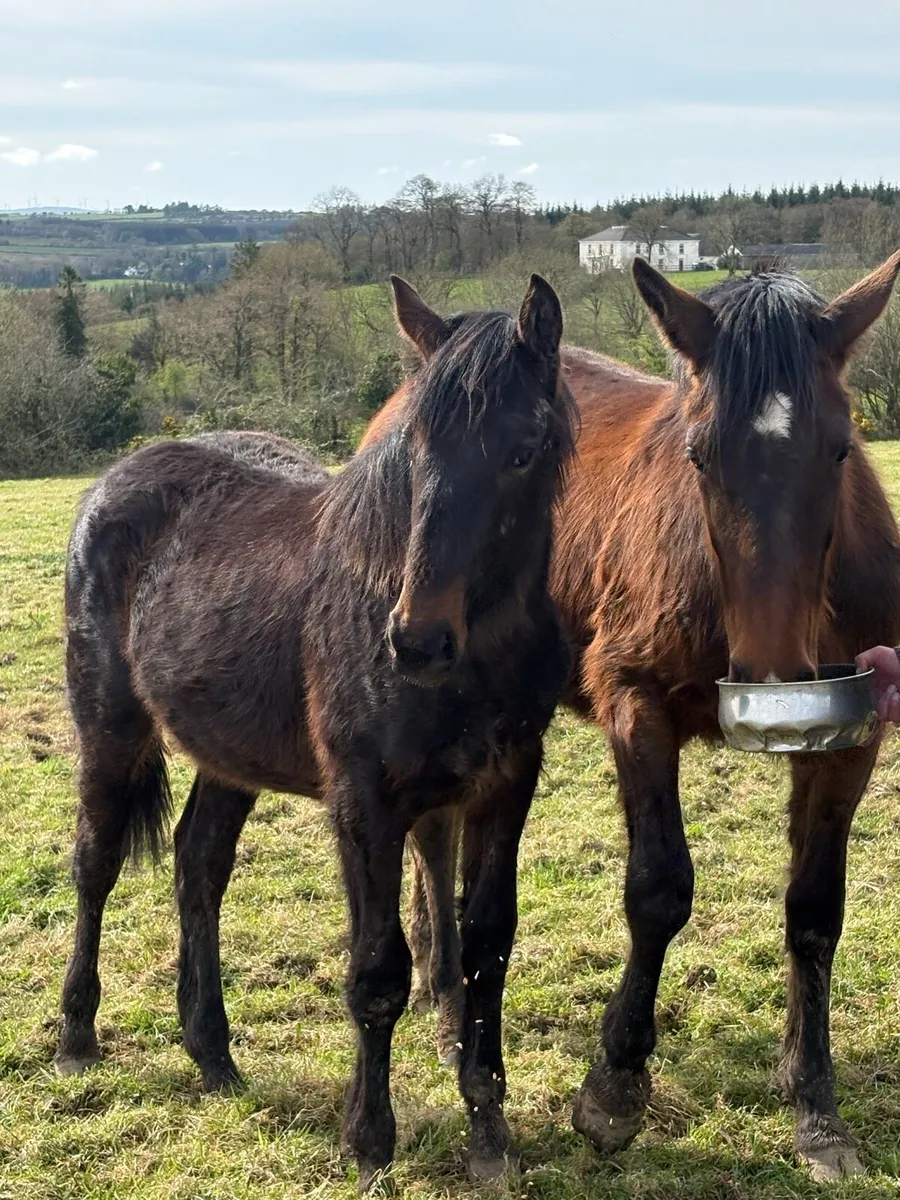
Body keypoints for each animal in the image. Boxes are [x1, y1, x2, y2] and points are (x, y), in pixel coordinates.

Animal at [55, 274, 576, 1188]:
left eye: (522, 452)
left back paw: (213, 1054)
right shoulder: (365, 800)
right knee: (97, 863)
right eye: (414, 447)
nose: (416, 640)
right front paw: (368, 1145)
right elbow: (378, 972)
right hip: (110, 728)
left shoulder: (503, 788)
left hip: (227, 756)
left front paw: (490, 1133)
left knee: (198, 865)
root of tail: (114, 481)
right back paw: (78, 1036)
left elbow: (486, 951)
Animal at [363, 251, 900, 1182]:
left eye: (839, 449)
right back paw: (445, 996)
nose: (770, 669)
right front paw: (614, 1086)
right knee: (431, 840)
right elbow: (658, 890)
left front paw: (814, 1100)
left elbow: (815, 911)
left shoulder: (848, 742)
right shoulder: (635, 708)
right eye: (699, 454)